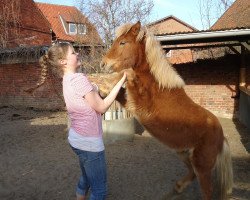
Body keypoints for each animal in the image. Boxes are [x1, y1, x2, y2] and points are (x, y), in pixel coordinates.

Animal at [98, 21, 233, 200]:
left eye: (123, 42)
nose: (103, 64)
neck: (158, 86)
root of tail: (221, 137)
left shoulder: (140, 104)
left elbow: (128, 73)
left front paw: (106, 83)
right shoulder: (131, 103)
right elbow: (120, 86)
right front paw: (103, 89)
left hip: (202, 166)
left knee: (207, 191)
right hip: (183, 153)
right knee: (192, 172)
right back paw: (177, 188)